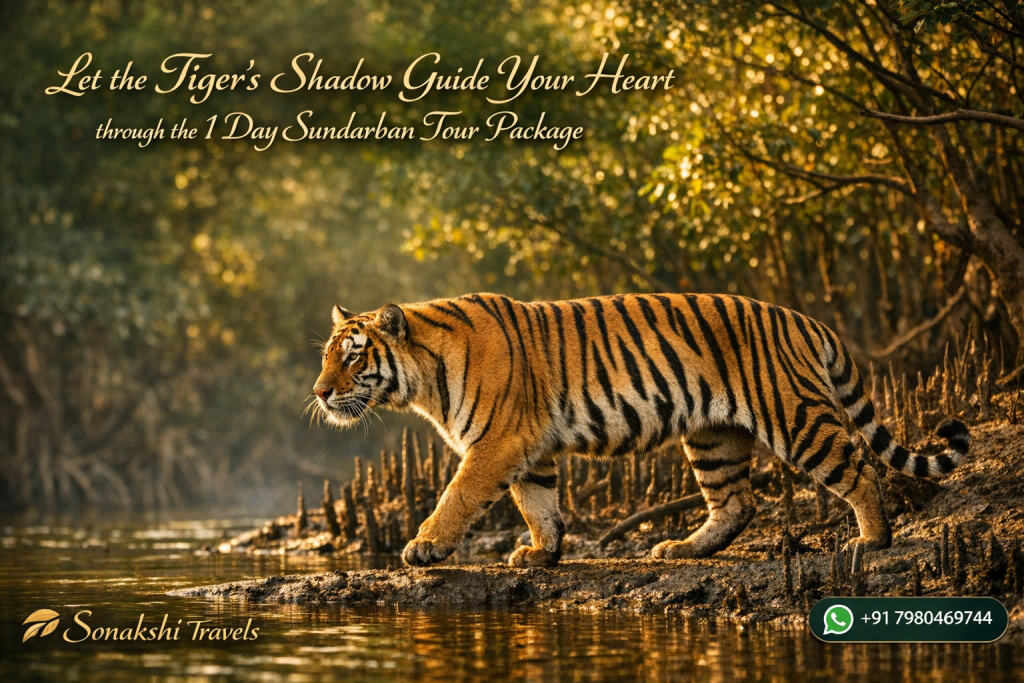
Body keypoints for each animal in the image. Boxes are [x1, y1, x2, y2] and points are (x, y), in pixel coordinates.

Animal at [312, 293, 970, 568]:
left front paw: (423, 547)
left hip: (794, 416)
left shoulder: (496, 442)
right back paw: (681, 548)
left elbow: (459, 495)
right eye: (326, 356)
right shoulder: (528, 446)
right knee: (738, 503)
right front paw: (541, 553)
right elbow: (538, 503)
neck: (422, 381)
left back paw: (872, 541)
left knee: (857, 467)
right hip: (711, 436)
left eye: (352, 355)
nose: (318, 392)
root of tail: (804, 319)